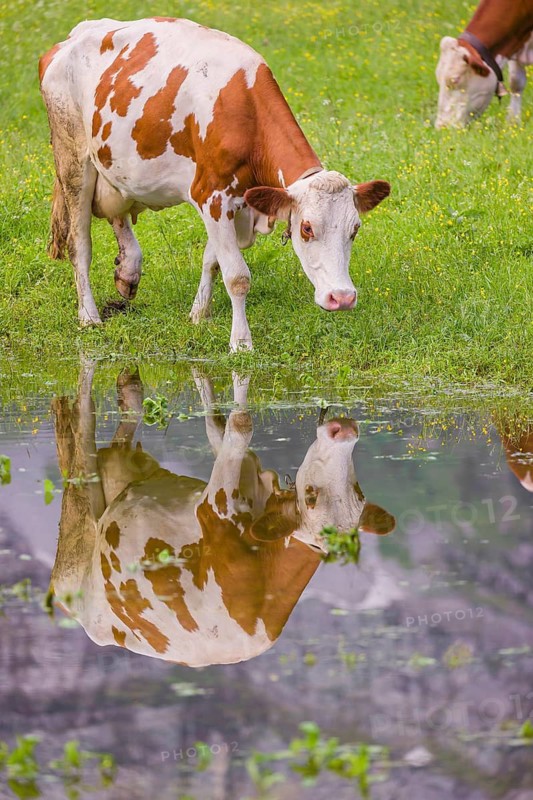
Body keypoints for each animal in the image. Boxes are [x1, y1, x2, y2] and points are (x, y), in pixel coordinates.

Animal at [39, 18, 391, 351]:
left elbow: (212, 260)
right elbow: (236, 276)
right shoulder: (211, 195)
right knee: (79, 244)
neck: (245, 110)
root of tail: (69, 40)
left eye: (355, 229)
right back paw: (89, 316)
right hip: (73, 160)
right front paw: (241, 342)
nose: (342, 297)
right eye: (306, 228)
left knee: (118, 213)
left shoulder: (236, 201)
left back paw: (128, 270)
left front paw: (199, 314)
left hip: (116, 166)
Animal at [48, 363, 395, 667]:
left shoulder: (250, 472)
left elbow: (218, 422)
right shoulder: (215, 504)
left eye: (358, 493)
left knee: (122, 438)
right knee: (82, 422)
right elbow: (240, 424)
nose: (344, 430)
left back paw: (129, 387)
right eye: (310, 495)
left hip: (127, 478)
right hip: (82, 522)